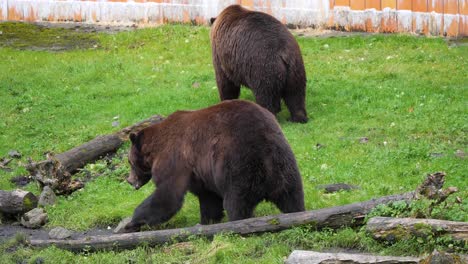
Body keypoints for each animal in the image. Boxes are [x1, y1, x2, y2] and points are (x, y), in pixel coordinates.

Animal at [121, 100, 304, 232]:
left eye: (129, 161)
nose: (130, 180)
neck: (155, 149)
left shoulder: (174, 157)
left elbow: (168, 193)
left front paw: (133, 221)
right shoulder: (201, 173)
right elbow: (209, 198)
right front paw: (207, 221)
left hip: (237, 164)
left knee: (237, 203)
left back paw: (238, 224)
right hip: (284, 164)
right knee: (292, 196)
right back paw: (297, 214)